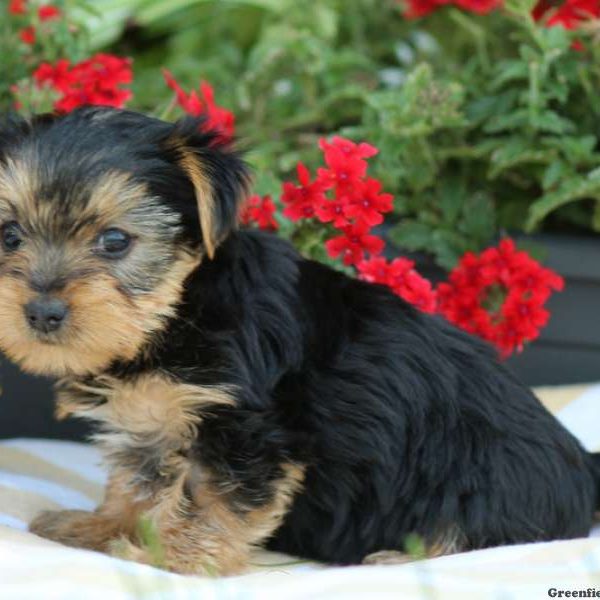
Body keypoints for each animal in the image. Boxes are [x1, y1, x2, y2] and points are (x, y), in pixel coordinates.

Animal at [0, 105, 596, 576]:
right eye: (9, 235)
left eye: (115, 241)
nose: (43, 312)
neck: (178, 313)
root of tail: (583, 468)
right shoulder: (150, 420)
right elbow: (139, 480)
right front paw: (106, 526)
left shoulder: (247, 430)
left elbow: (209, 494)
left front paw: (170, 557)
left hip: (486, 477)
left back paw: (401, 557)